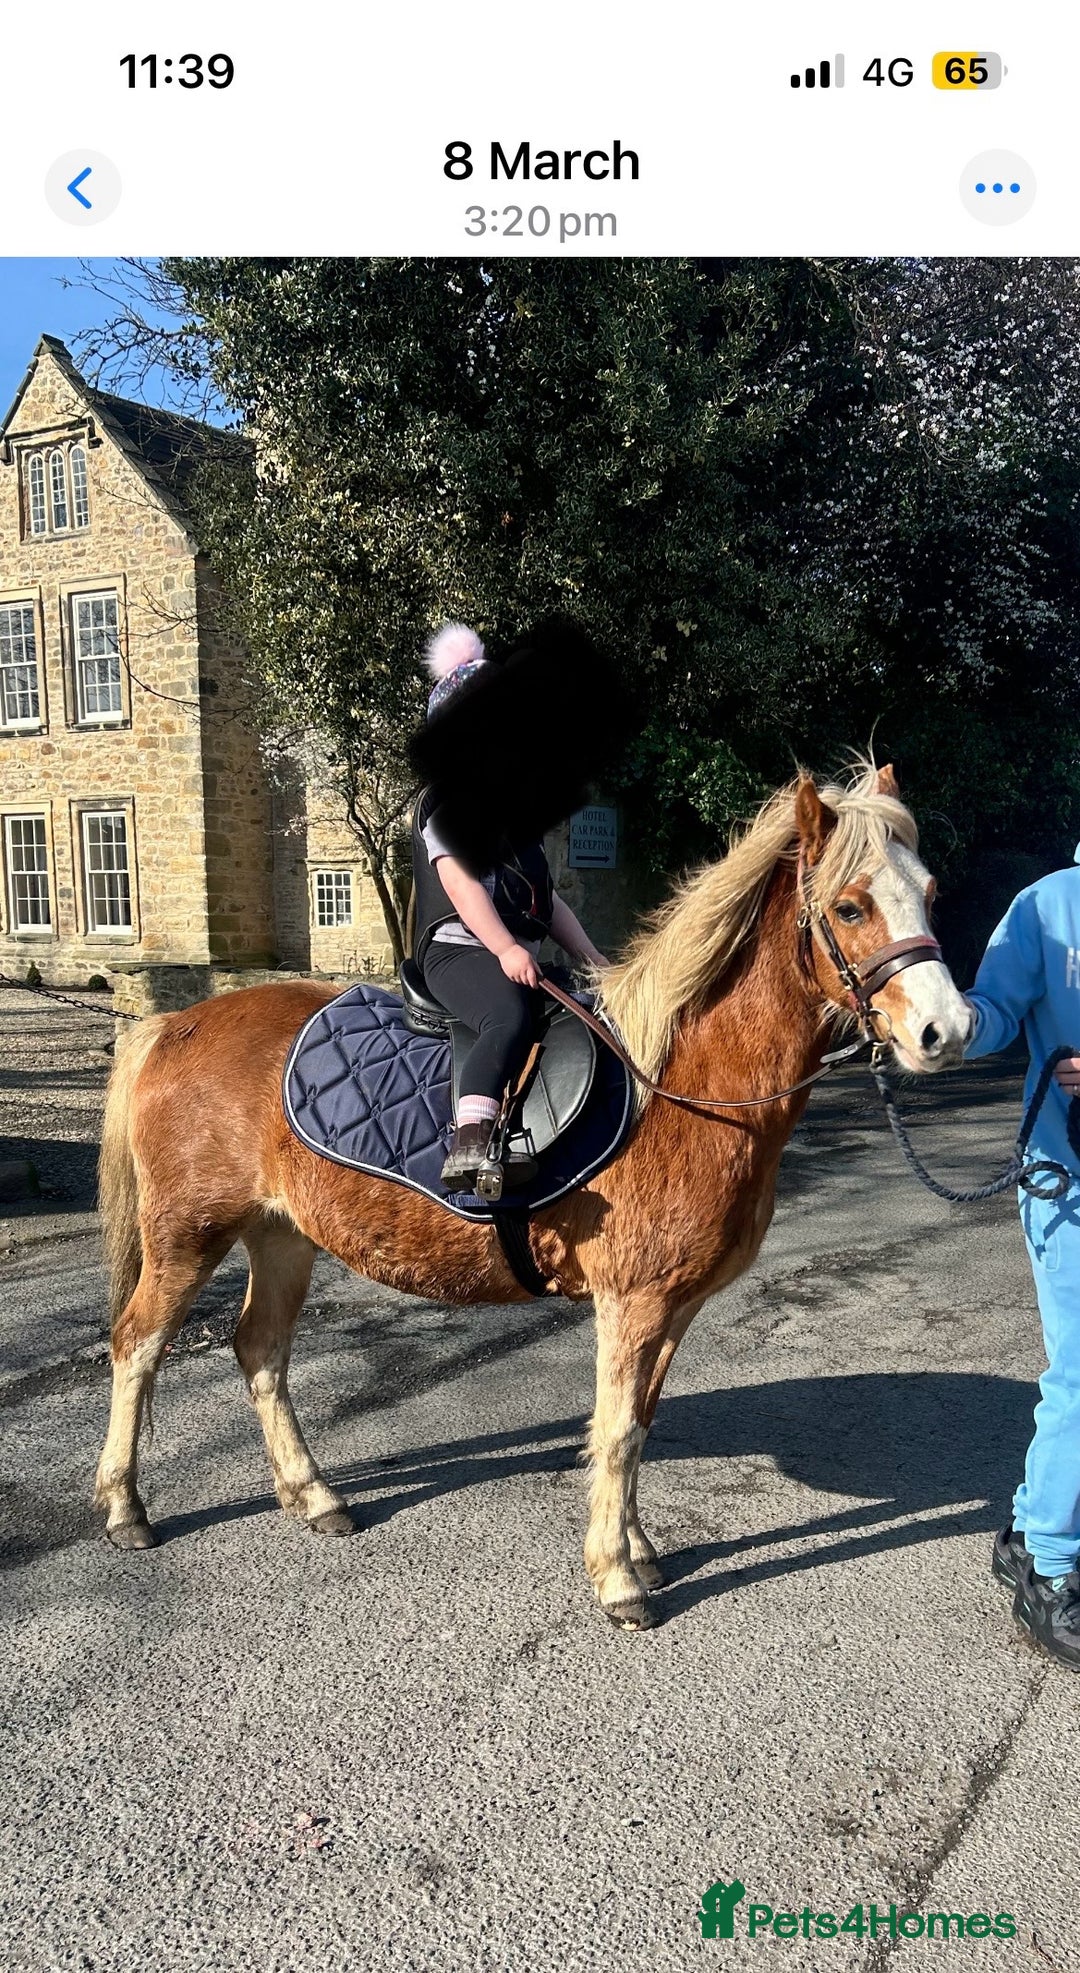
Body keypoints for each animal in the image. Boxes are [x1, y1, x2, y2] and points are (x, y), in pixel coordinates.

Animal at [94, 762, 972, 1629]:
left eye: (931, 892)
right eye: (850, 906)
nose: (949, 1030)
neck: (681, 1082)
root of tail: (172, 1025)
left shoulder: (674, 1304)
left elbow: (641, 1421)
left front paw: (638, 1547)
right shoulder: (633, 1300)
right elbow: (615, 1432)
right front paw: (617, 1578)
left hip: (281, 1235)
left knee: (261, 1352)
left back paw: (313, 1496)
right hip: (188, 1236)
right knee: (137, 1343)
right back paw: (126, 1507)